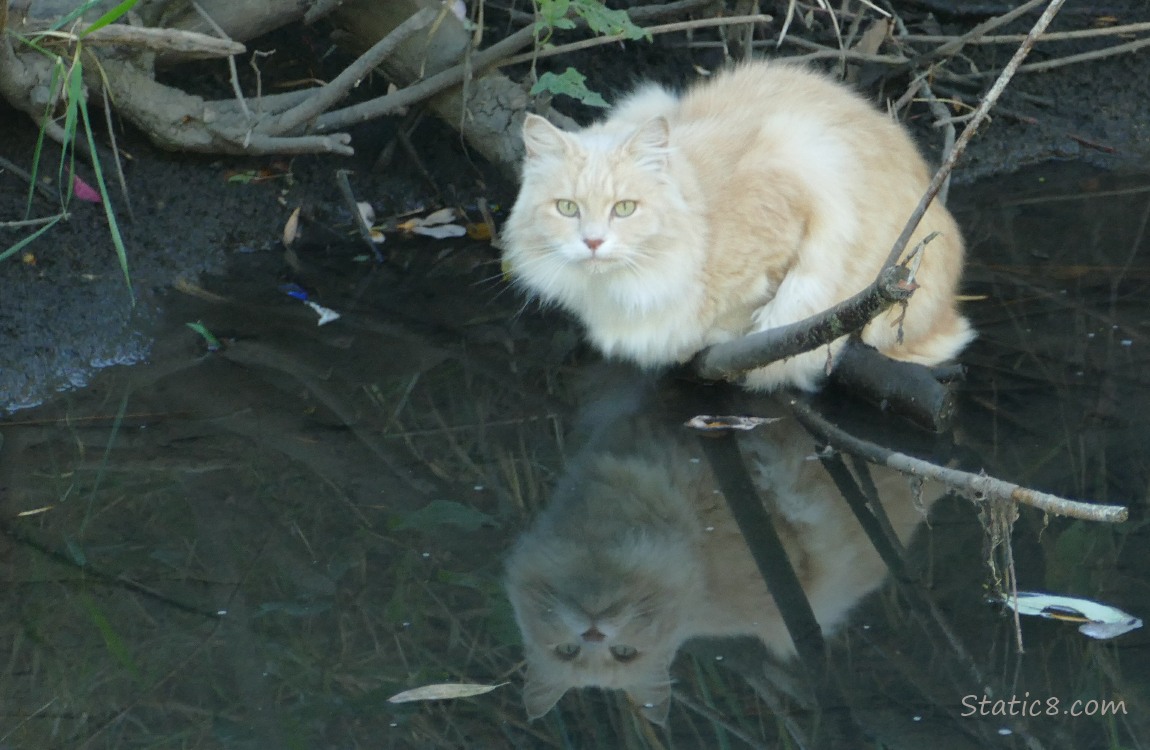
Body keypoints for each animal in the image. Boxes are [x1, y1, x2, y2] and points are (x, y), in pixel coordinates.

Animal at [501, 61, 970, 388]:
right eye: (567, 208)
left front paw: (715, 333)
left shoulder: (796, 183)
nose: (594, 241)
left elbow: (762, 295)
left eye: (625, 208)